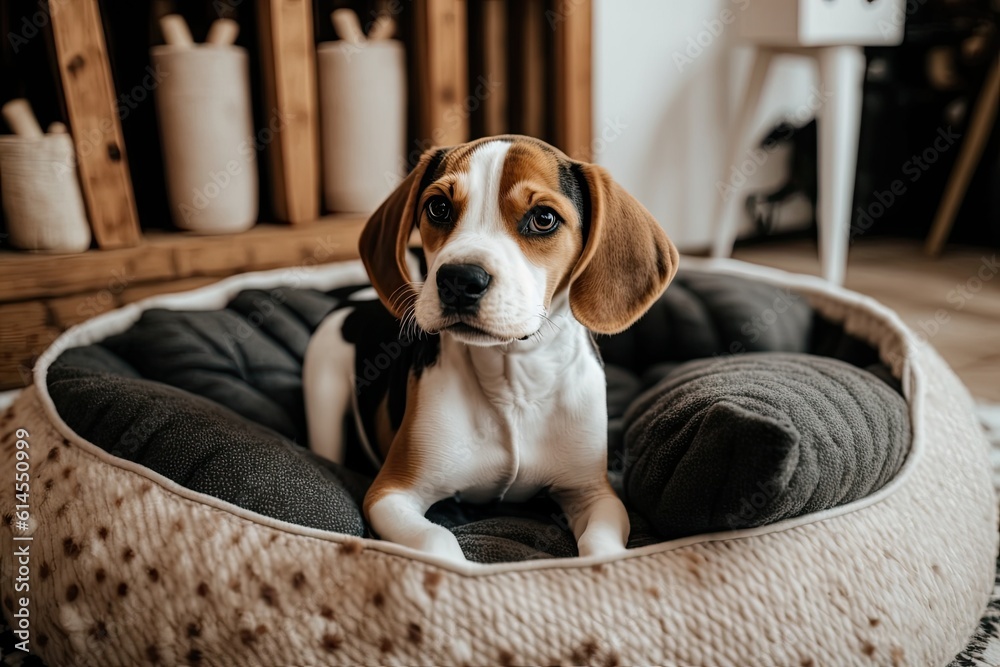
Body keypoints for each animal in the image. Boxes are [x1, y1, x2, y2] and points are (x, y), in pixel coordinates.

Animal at [304, 136, 680, 564]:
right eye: (439, 207)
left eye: (543, 218)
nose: (458, 280)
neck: (513, 376)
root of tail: (355, 299)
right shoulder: (391, 493)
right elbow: (437, 542)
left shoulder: (594, 492)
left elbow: (601, 547)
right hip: (324, 387)